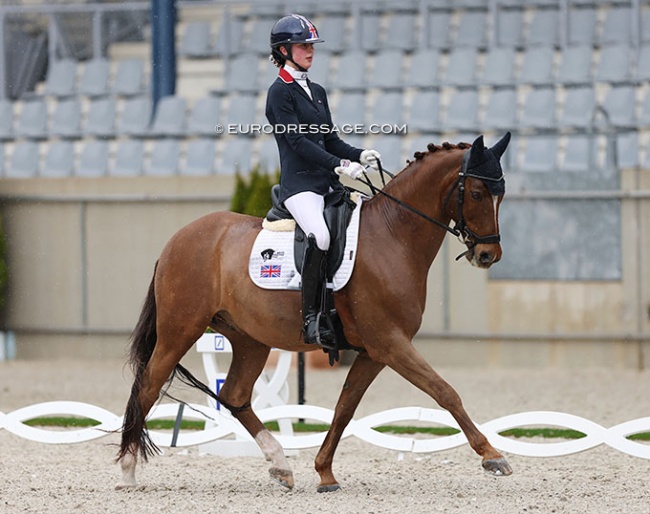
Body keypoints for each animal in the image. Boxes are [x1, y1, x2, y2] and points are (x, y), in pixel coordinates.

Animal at [116, 133, 512, 492]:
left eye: (501, 194)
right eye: (477, 193)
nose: (488, 255)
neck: (393, 235)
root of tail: (176, 240)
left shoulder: (374, 351)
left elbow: (345, 408)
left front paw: (325, 473)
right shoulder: (390, 343)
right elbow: (444, 391)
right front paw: (493, 456)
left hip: (249, 339)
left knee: (234, 395)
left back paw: (279, 465)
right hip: (180, 330)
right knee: (149, 386)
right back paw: (128, 472)